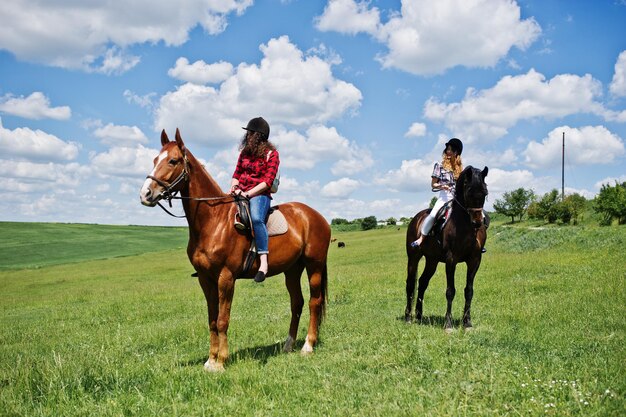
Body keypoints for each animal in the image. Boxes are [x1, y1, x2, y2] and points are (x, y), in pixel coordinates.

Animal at [138, 129, 330, 370]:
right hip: (292, 270)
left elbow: (222, 320)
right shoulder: (206, 279)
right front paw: (210, 360)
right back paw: (288, 345)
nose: (146, 194)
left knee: (315, 302)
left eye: (173, 161)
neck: (214, 221)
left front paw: (221, 361)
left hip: (314, 266)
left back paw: (308, 345)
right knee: (297, 303)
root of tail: (316, 216)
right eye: (155, 160)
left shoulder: (226, 278)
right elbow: (212, 319)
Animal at [404, 166, 488, 332]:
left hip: (432, 261)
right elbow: (450, 291)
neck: (465, 225)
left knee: (422, 282)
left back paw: (419, 316)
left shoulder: (475, 260)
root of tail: (416, 219)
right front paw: (448, 324)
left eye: (485, 192)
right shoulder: (451, 260)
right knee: (410, 284)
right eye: (469, 192)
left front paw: (467, 323)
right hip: (414, 258)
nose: (477, 223)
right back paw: (408, 317)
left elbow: (469, 291)